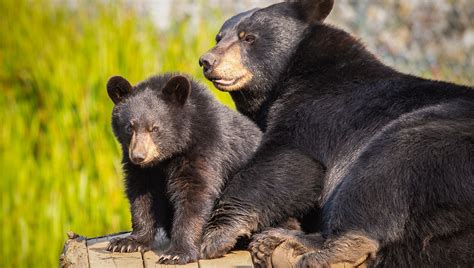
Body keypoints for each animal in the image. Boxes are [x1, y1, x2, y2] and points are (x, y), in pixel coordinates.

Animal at [104, 73, 262, 264]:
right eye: (129, 127)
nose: (138, 156)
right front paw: (128, 242)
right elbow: (141, 194)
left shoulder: (206, 149)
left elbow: (194, 194)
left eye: (154, 128)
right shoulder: (143, 171)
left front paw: (177, 253)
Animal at [197, 0, 474, 266]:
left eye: (248, 37)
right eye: (219, 37)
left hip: (433, 138)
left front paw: (214, 236)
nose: (207, 61)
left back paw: (317, 251)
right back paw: (277, 245)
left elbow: (288, 161)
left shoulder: (321, 107)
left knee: (383, 171)